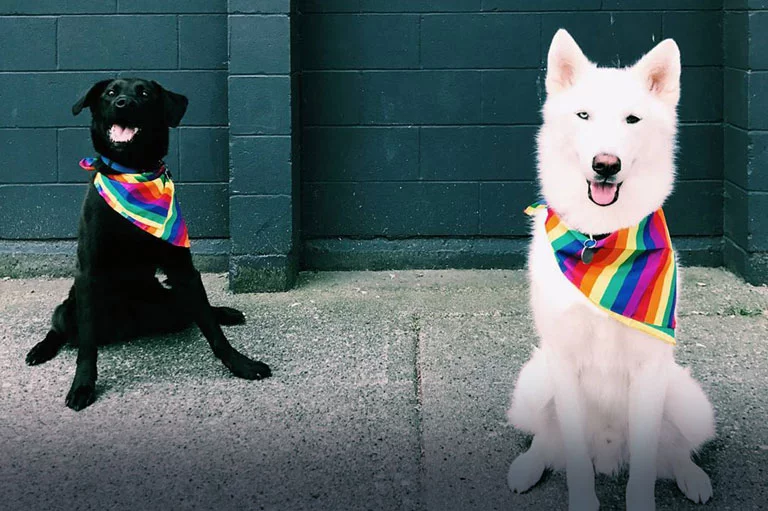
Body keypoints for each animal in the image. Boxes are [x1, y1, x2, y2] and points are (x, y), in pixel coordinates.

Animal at [25, 78, 272, 412]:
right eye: (110, 93)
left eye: (144, 93)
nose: (123, 104)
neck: (132, 172)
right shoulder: (88, 272)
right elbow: (87, 346)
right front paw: (82, 385)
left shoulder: (183, 269)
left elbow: (211, 327)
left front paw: (241, 364)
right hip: (68, 310)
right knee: (59, 329)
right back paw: (40, 349)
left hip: (170, 306)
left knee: (192, 309)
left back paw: (226, 313)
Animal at [508, 30, 716, 510]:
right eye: (583, 114)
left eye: (632, 120)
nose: (606, 164)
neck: (599, 240)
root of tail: (608, 454)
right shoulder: (563, 360)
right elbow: (572, 454)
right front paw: (583, 500)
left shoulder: (650, 368)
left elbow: (644, 463)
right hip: (534, 383)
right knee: (547, 441)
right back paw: (529, 466)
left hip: (687, 400)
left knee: (675, 450)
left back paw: (691, 476)